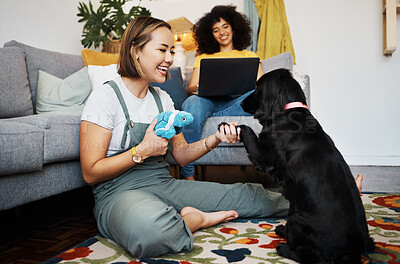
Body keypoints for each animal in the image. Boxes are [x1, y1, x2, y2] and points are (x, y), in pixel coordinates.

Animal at [236, 69, 374, 262]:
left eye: (258, 86)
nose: (241, 102)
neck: (289, 111)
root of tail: (352, 253)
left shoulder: (263, 155)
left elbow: (247, 130)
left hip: (298, 220)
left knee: (312, 257)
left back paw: (283, 248)